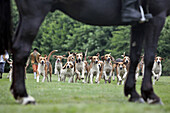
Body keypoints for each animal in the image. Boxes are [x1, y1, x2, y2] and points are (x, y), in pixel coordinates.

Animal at [0, 0, 169, 104]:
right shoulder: (157, 15)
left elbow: (134, 58)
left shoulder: (140, 22)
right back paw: (24, 96)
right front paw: (150, 95)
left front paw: (134, 93)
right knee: (21, 49)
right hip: (34, 13)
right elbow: (148, 57)